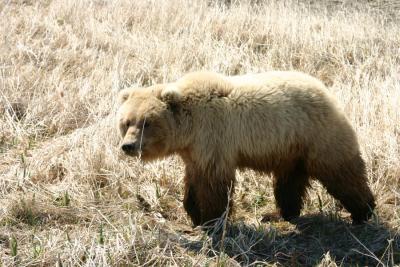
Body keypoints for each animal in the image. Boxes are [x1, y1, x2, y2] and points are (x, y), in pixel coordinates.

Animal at [117, 70, 376, 226]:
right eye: (126, 122)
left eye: (147, 122)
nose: (128, 146)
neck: (189, 129)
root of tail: (326, 91)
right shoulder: (194, 151)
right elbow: (193, 180)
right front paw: (194, 212)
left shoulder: (214, 139)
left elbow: (214, 185)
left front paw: (212, 219)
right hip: (290, 149)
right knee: (289, 181)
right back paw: (282, 213)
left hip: (317, 135)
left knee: (341, 171)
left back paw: (363, 212)